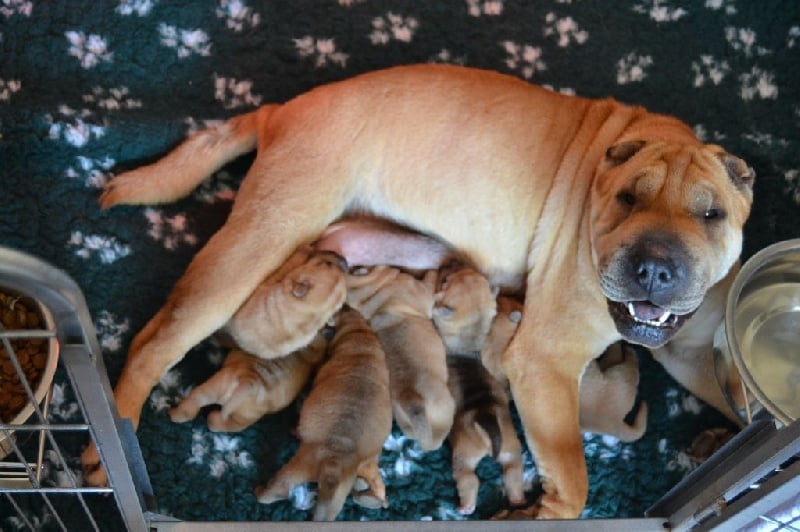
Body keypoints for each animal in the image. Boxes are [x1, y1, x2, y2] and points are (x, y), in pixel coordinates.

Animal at [255, 306, 392, 520]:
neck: (360, 336)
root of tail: (333, 463)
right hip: (363, 467)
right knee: (373, 480)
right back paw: (372, 497)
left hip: (299, 465)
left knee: (277, 489)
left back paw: (261, 490)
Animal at [346, 264, 454, 450]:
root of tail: (412, 402)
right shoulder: (422, 291)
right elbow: (429, 279)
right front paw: (436, 272)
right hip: (447, 407)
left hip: (405, 423)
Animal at [444, 358, 524, 516]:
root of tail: (485, 413)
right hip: (510, 449)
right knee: (512, 472)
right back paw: (518, 500)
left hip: (464, 456)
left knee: (469, 479)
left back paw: (465, 507)